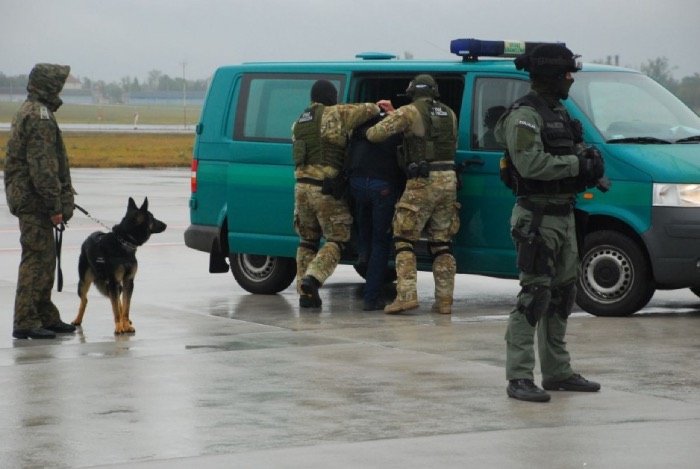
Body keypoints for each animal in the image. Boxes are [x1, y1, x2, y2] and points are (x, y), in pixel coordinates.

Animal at [72, 197, 167, 332]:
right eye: (152, 218)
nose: (165, 225)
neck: (124, 242)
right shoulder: (113, 282)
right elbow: (116, 309)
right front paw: (119, 327)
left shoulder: (128, 281)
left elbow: (126, 307)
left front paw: (126, 324)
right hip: (84, 282)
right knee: (84, 300)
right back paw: (78, 319)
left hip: (116, 286)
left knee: (118, 300)